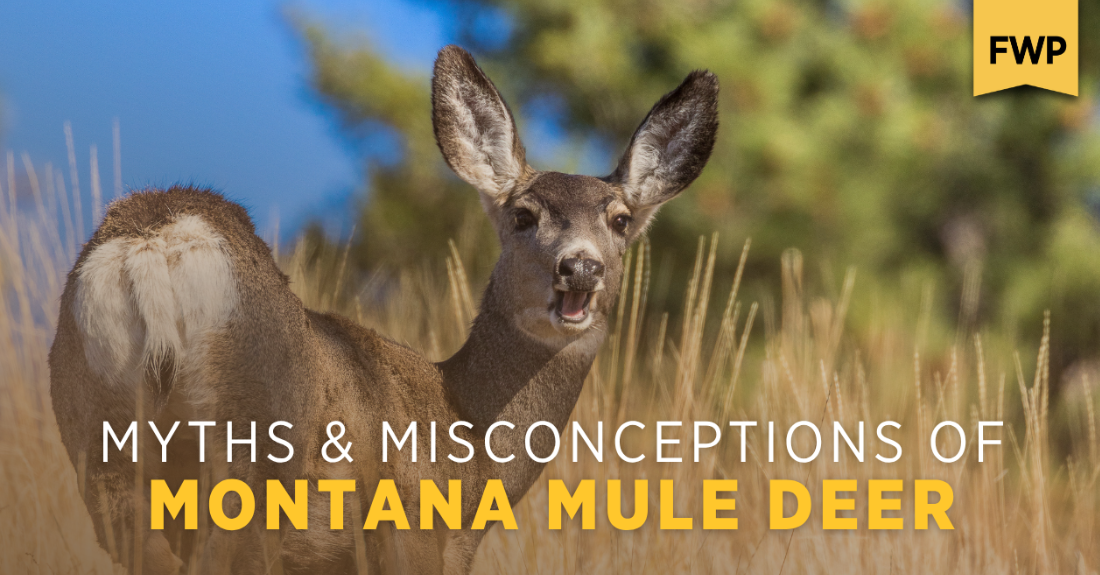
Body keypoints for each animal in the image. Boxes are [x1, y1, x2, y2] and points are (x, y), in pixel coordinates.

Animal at [49, 45, 718, 575]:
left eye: (621, 220)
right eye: (524, 215)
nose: (579, 267)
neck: (468, 449)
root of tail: (154, 246)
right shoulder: (411, 530)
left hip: (99, 449)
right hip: (248, 457)